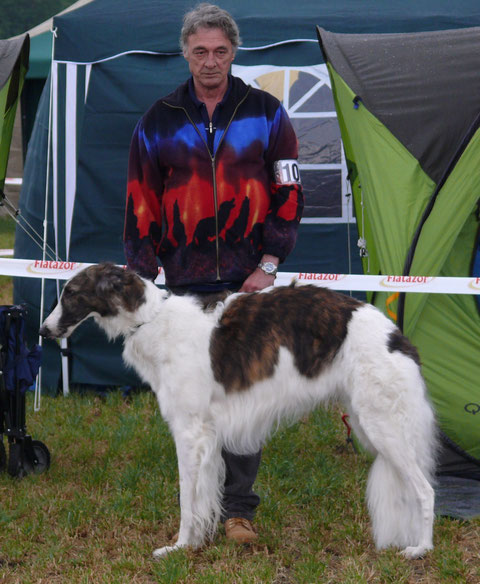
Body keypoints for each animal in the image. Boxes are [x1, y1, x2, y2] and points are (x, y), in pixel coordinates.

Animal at [40, 262, 438, 560]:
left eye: (70, 293)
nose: (43, 331)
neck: (153, 318)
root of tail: (395, 335)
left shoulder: (190, 432)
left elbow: (187, 500)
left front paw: (179, 547)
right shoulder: (208, 437)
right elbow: (203, 497)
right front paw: (196, 542)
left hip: (383, 425)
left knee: (426, 490)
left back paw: (421, 548)